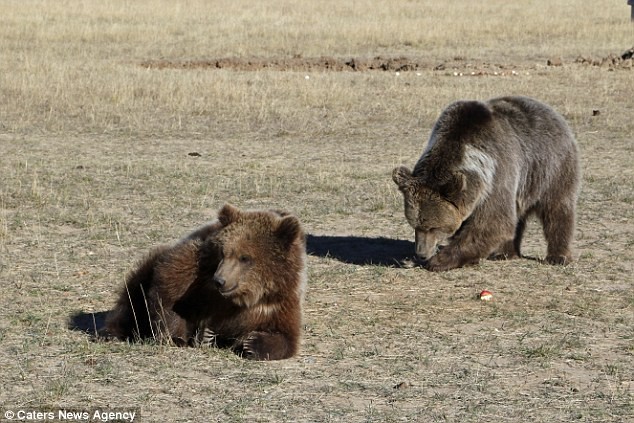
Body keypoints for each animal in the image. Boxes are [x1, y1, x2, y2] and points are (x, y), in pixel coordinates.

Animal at [103, 205, 306, 362]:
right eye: (223, 252)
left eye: (245, 258)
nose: (220, 280)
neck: (242, 297)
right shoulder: (197, 268)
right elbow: (168, 291)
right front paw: (176, 336)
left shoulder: (278, 304)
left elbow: (285, 337)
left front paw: (251, 343)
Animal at [392, 96, 580, 272]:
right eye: (415, 225)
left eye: (433, 227)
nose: (422, 254)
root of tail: (552, 112)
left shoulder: (497, 176)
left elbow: (493, 222)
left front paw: (439, 261)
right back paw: (505, 253)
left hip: (551, 167)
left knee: (557, 209)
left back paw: (558, 256)